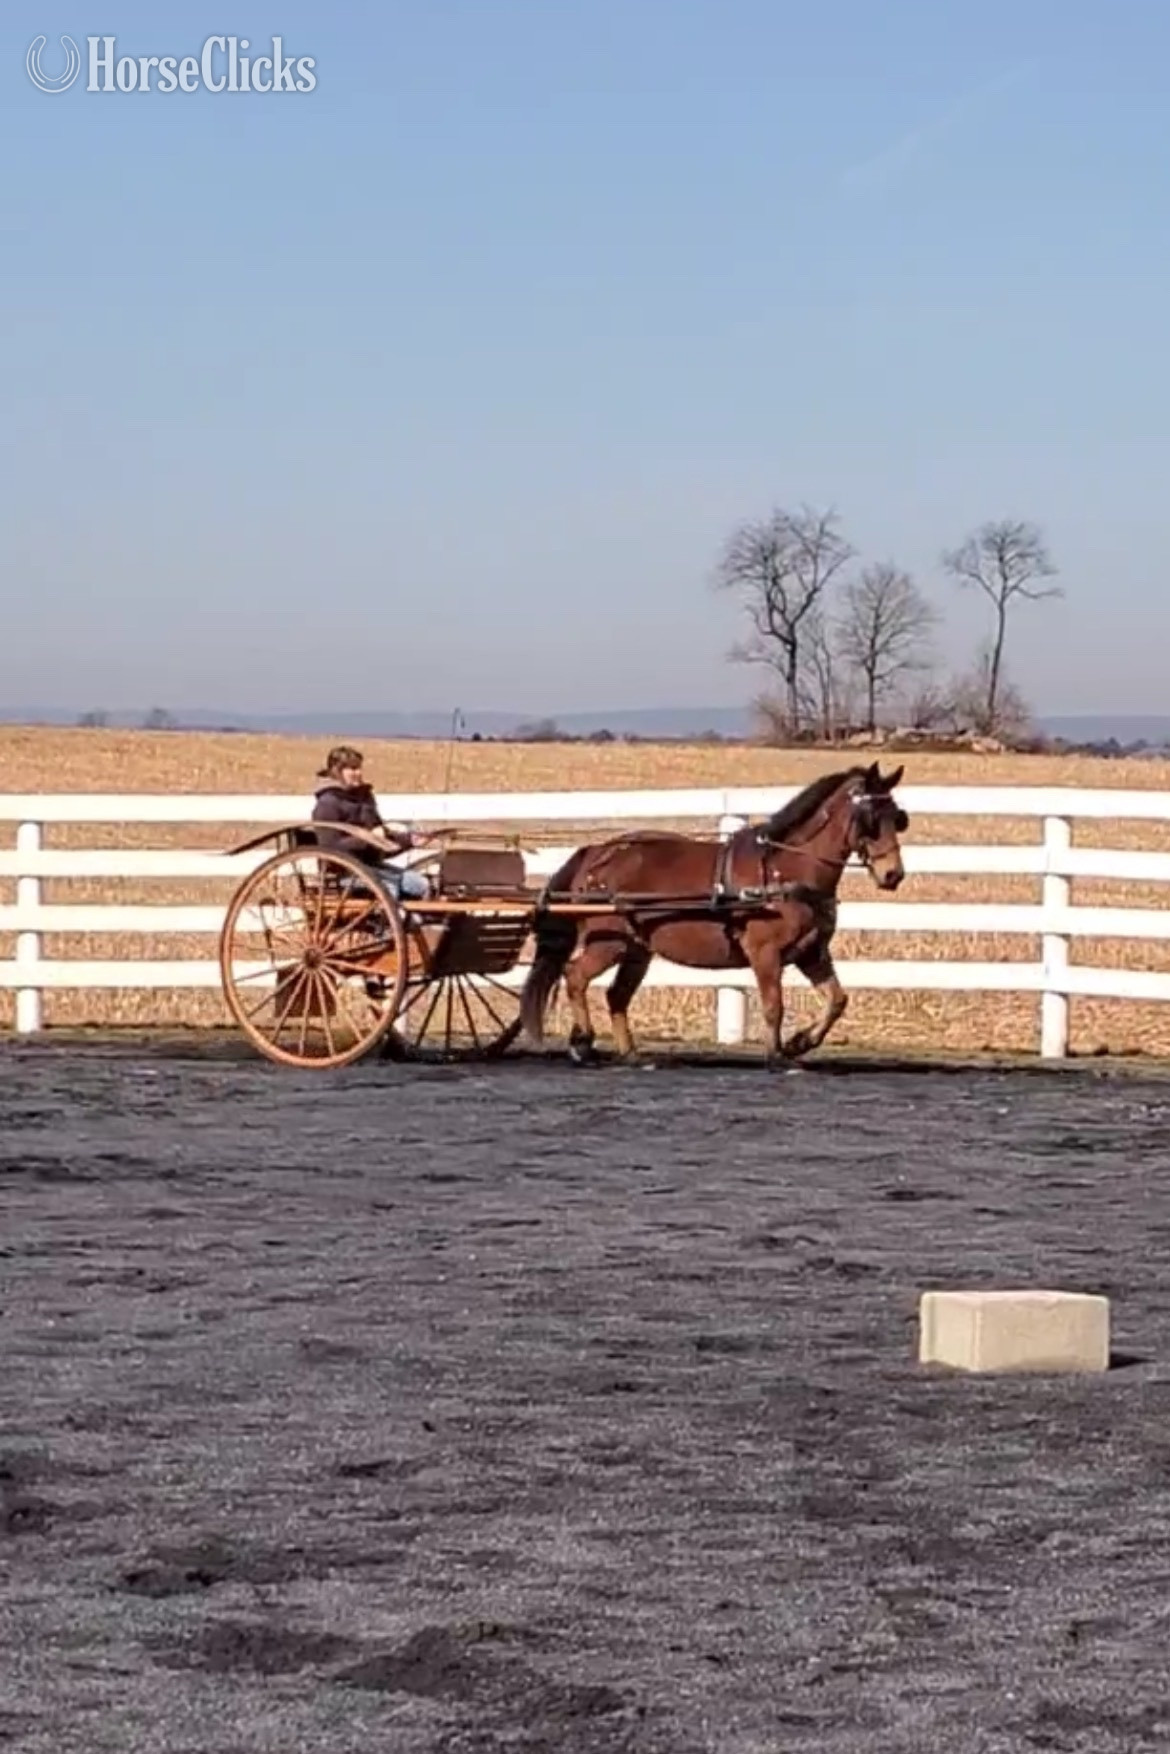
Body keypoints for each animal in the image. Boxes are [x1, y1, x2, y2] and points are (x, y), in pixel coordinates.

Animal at [518, 762, 908, 1065]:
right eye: (871, 818)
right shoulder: (764, 953)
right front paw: (777, 1056)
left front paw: (801, 1043)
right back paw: (583, 1041)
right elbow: (774, 1005)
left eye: (898, 818)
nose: (893, 874)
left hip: (637, 949)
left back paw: (631, 1054)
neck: (784, 868)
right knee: (575, 976)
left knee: (616, 995)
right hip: (608, 943)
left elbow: (837, 1000)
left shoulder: (811, 953)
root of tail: (597, 853)